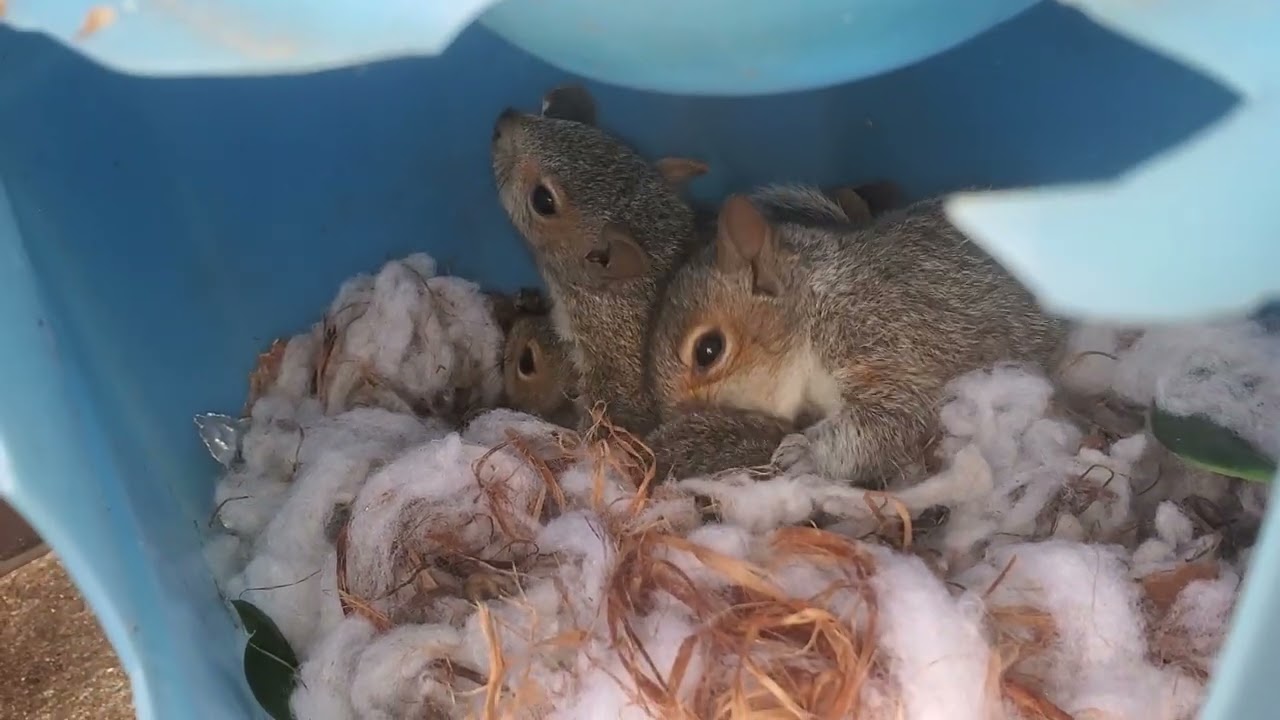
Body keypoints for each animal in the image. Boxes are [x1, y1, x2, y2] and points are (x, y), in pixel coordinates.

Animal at [646, 193, 1066, 486]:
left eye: (709, 350)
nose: (675, 419)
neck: (818, 304)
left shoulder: (883, 339)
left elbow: (895, 417)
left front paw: (803, 453)